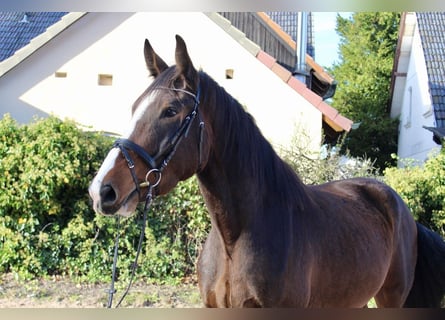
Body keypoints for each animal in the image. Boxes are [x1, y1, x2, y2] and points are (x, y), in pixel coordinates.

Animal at [87, 35, 444, 308]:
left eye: (170, 110)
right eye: (134, 108)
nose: (102, 189)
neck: (236, 240)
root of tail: (400, 208)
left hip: (391, 298)